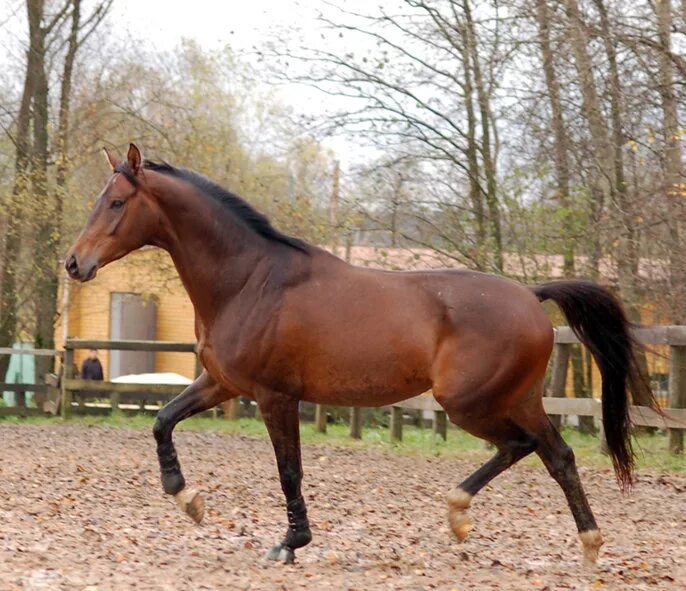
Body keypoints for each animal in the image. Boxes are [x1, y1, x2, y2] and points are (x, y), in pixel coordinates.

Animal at [67, 145, 660, 568]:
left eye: (116, 202)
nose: (75, 264)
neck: (248, 280)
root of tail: (531, 296)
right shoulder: (224, 384)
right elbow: (162, 421)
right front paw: (187, 499)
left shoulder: (274, 397)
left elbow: (289, 471)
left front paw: (290, 542)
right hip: (511, 399)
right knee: (553, 454)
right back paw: (571, 542)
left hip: (472, 401)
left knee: (531, 447)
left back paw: (478, 519)